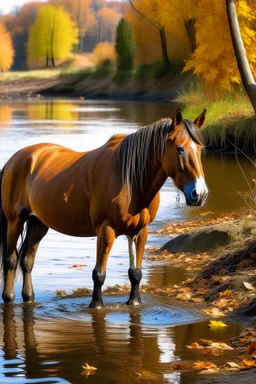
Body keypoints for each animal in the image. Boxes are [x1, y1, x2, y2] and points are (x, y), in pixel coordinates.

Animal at [0, 108, 208, 306]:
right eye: (180, 148)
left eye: (200, 149)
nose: (200, 193)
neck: (129, 179)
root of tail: (15, 160)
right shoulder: (106, 229)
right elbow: (99, 274)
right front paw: (96, 304)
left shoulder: (140, 231)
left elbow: (135, 272)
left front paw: (134, 301)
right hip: (14, 221)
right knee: (11, 260)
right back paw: (9, 297)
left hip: (38, 222)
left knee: (27, 261)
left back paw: (28, 297)